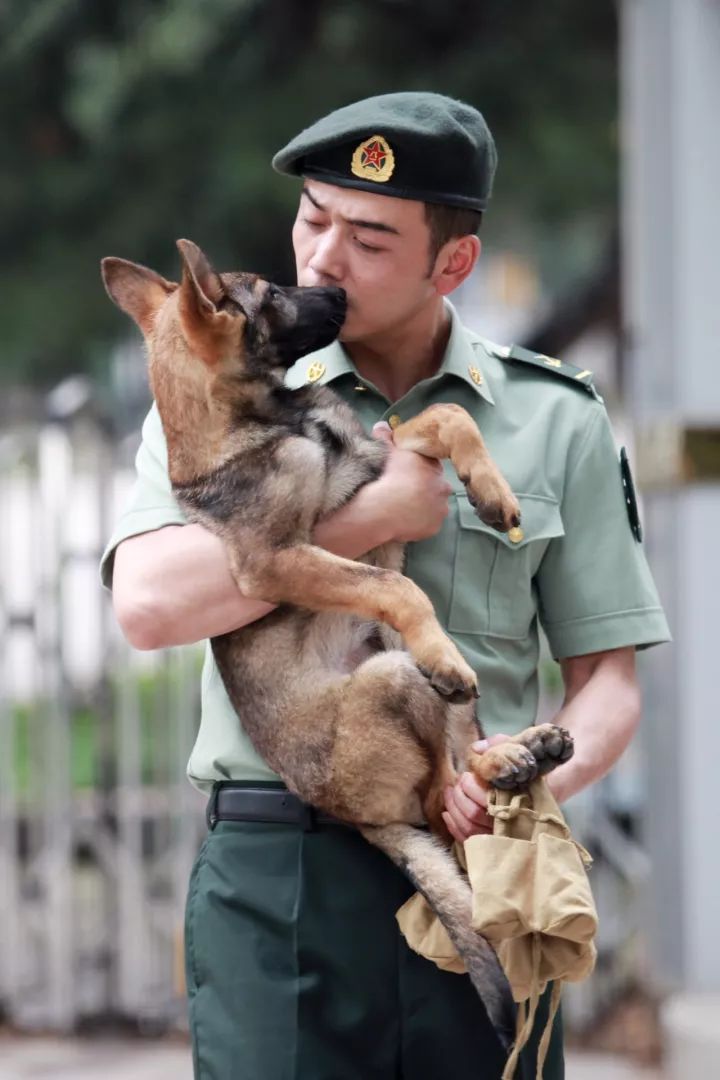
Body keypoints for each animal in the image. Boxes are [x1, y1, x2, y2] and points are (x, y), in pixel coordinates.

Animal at [102, 243, 574, 1045]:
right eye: (271, 292)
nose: (340, 292)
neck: (270, 421)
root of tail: (361, 820)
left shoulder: (376, 465)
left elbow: (445, 414)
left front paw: (493, 490)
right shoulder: (276, 560)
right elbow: (396, 587)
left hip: (414, 689)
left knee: (462, 758)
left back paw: (519, 751)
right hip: (391, 676)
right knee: (438, 796)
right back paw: (469, 708)